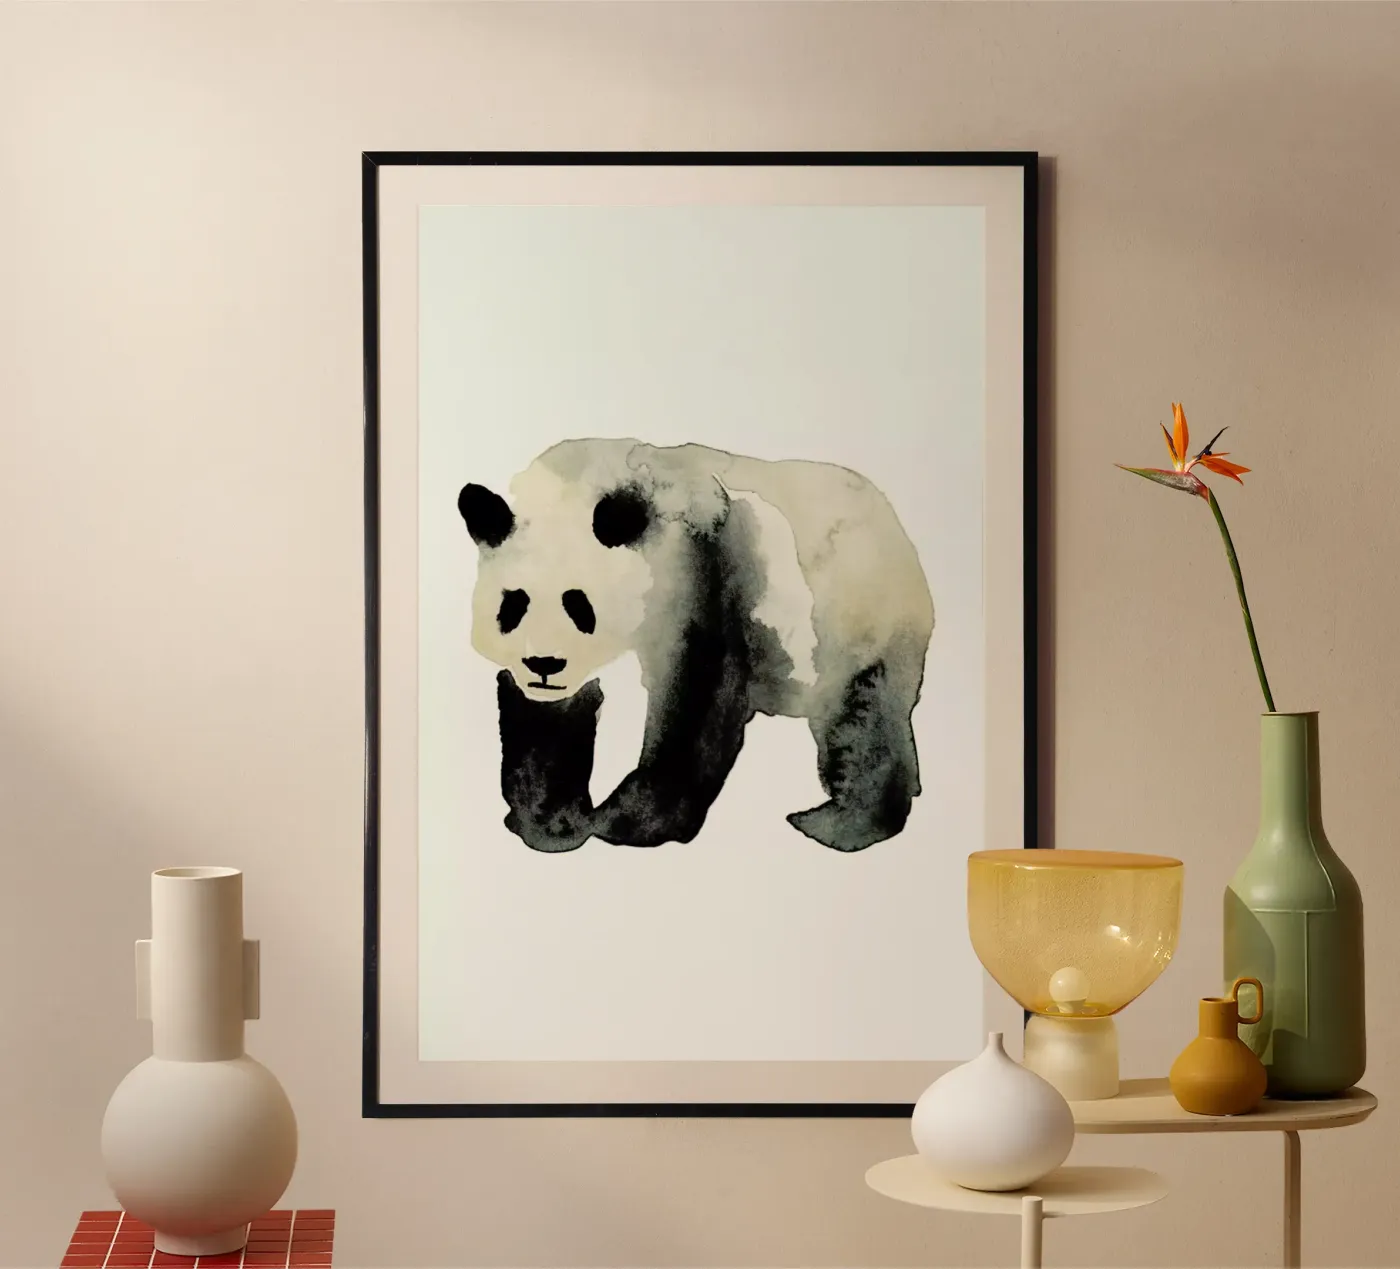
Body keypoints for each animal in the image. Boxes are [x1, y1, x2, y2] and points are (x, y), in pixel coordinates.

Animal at [457, 439, 934, 854]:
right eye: (514, 603)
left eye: (578, 604)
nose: (544, 663)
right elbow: (548, 723)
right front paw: (549, 823)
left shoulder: (702, 570)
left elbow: (695, 696)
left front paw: (626, 823)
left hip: (858, 616)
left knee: (862, 717)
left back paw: (839, 824)